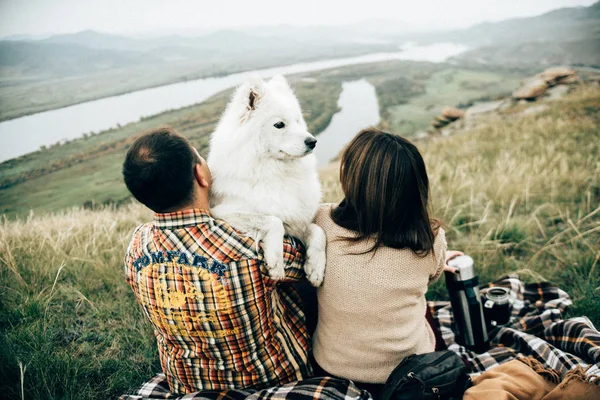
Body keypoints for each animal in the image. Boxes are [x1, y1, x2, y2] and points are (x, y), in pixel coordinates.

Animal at [207, 75, 328, 286]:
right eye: (279, 124)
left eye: (297, 121)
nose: (313, 141)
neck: (275, 172)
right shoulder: (221, 212)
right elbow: (273, 220)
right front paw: (276, 262)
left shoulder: (297, 222)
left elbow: (317, 230)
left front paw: (315, 268)